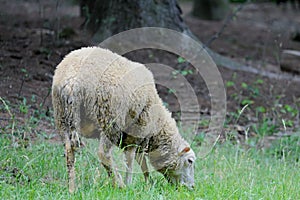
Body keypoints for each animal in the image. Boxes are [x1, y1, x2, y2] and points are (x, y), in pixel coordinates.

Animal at [51, 46, 197, 192]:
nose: (192, 187)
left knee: (70, 151)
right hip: (110, 120)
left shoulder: (137, 138)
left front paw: (148, 182)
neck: (157, 125)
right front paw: (130, 183)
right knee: (103, 154)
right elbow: (131, 160)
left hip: (63, 118)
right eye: (190, 161)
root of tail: (72, 80)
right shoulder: (136, 132)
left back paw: (72, 188)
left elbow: (141, 161)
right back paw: (119, 184)